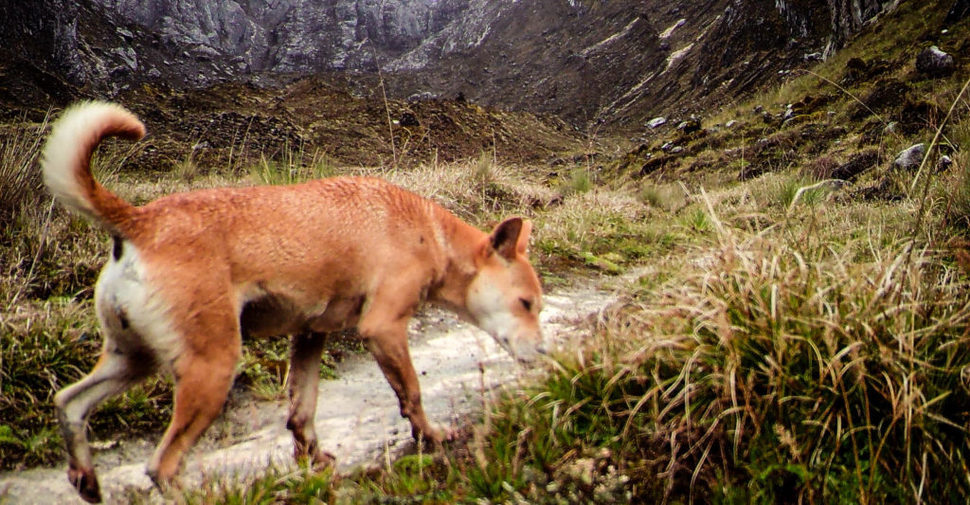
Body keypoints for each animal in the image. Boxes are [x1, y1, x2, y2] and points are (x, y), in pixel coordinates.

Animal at [43, 101, 544, 500]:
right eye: (526, 304)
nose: (544, 354)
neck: (431, 233)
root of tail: (140, 220)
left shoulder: (309, 337)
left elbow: (302, 413)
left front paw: (314, 463)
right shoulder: (383, 329)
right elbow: (412, 396)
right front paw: (433, 437)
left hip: (133, 360)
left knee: (70, 403)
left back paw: (86, 478)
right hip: (212, 368)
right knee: (161, 465)